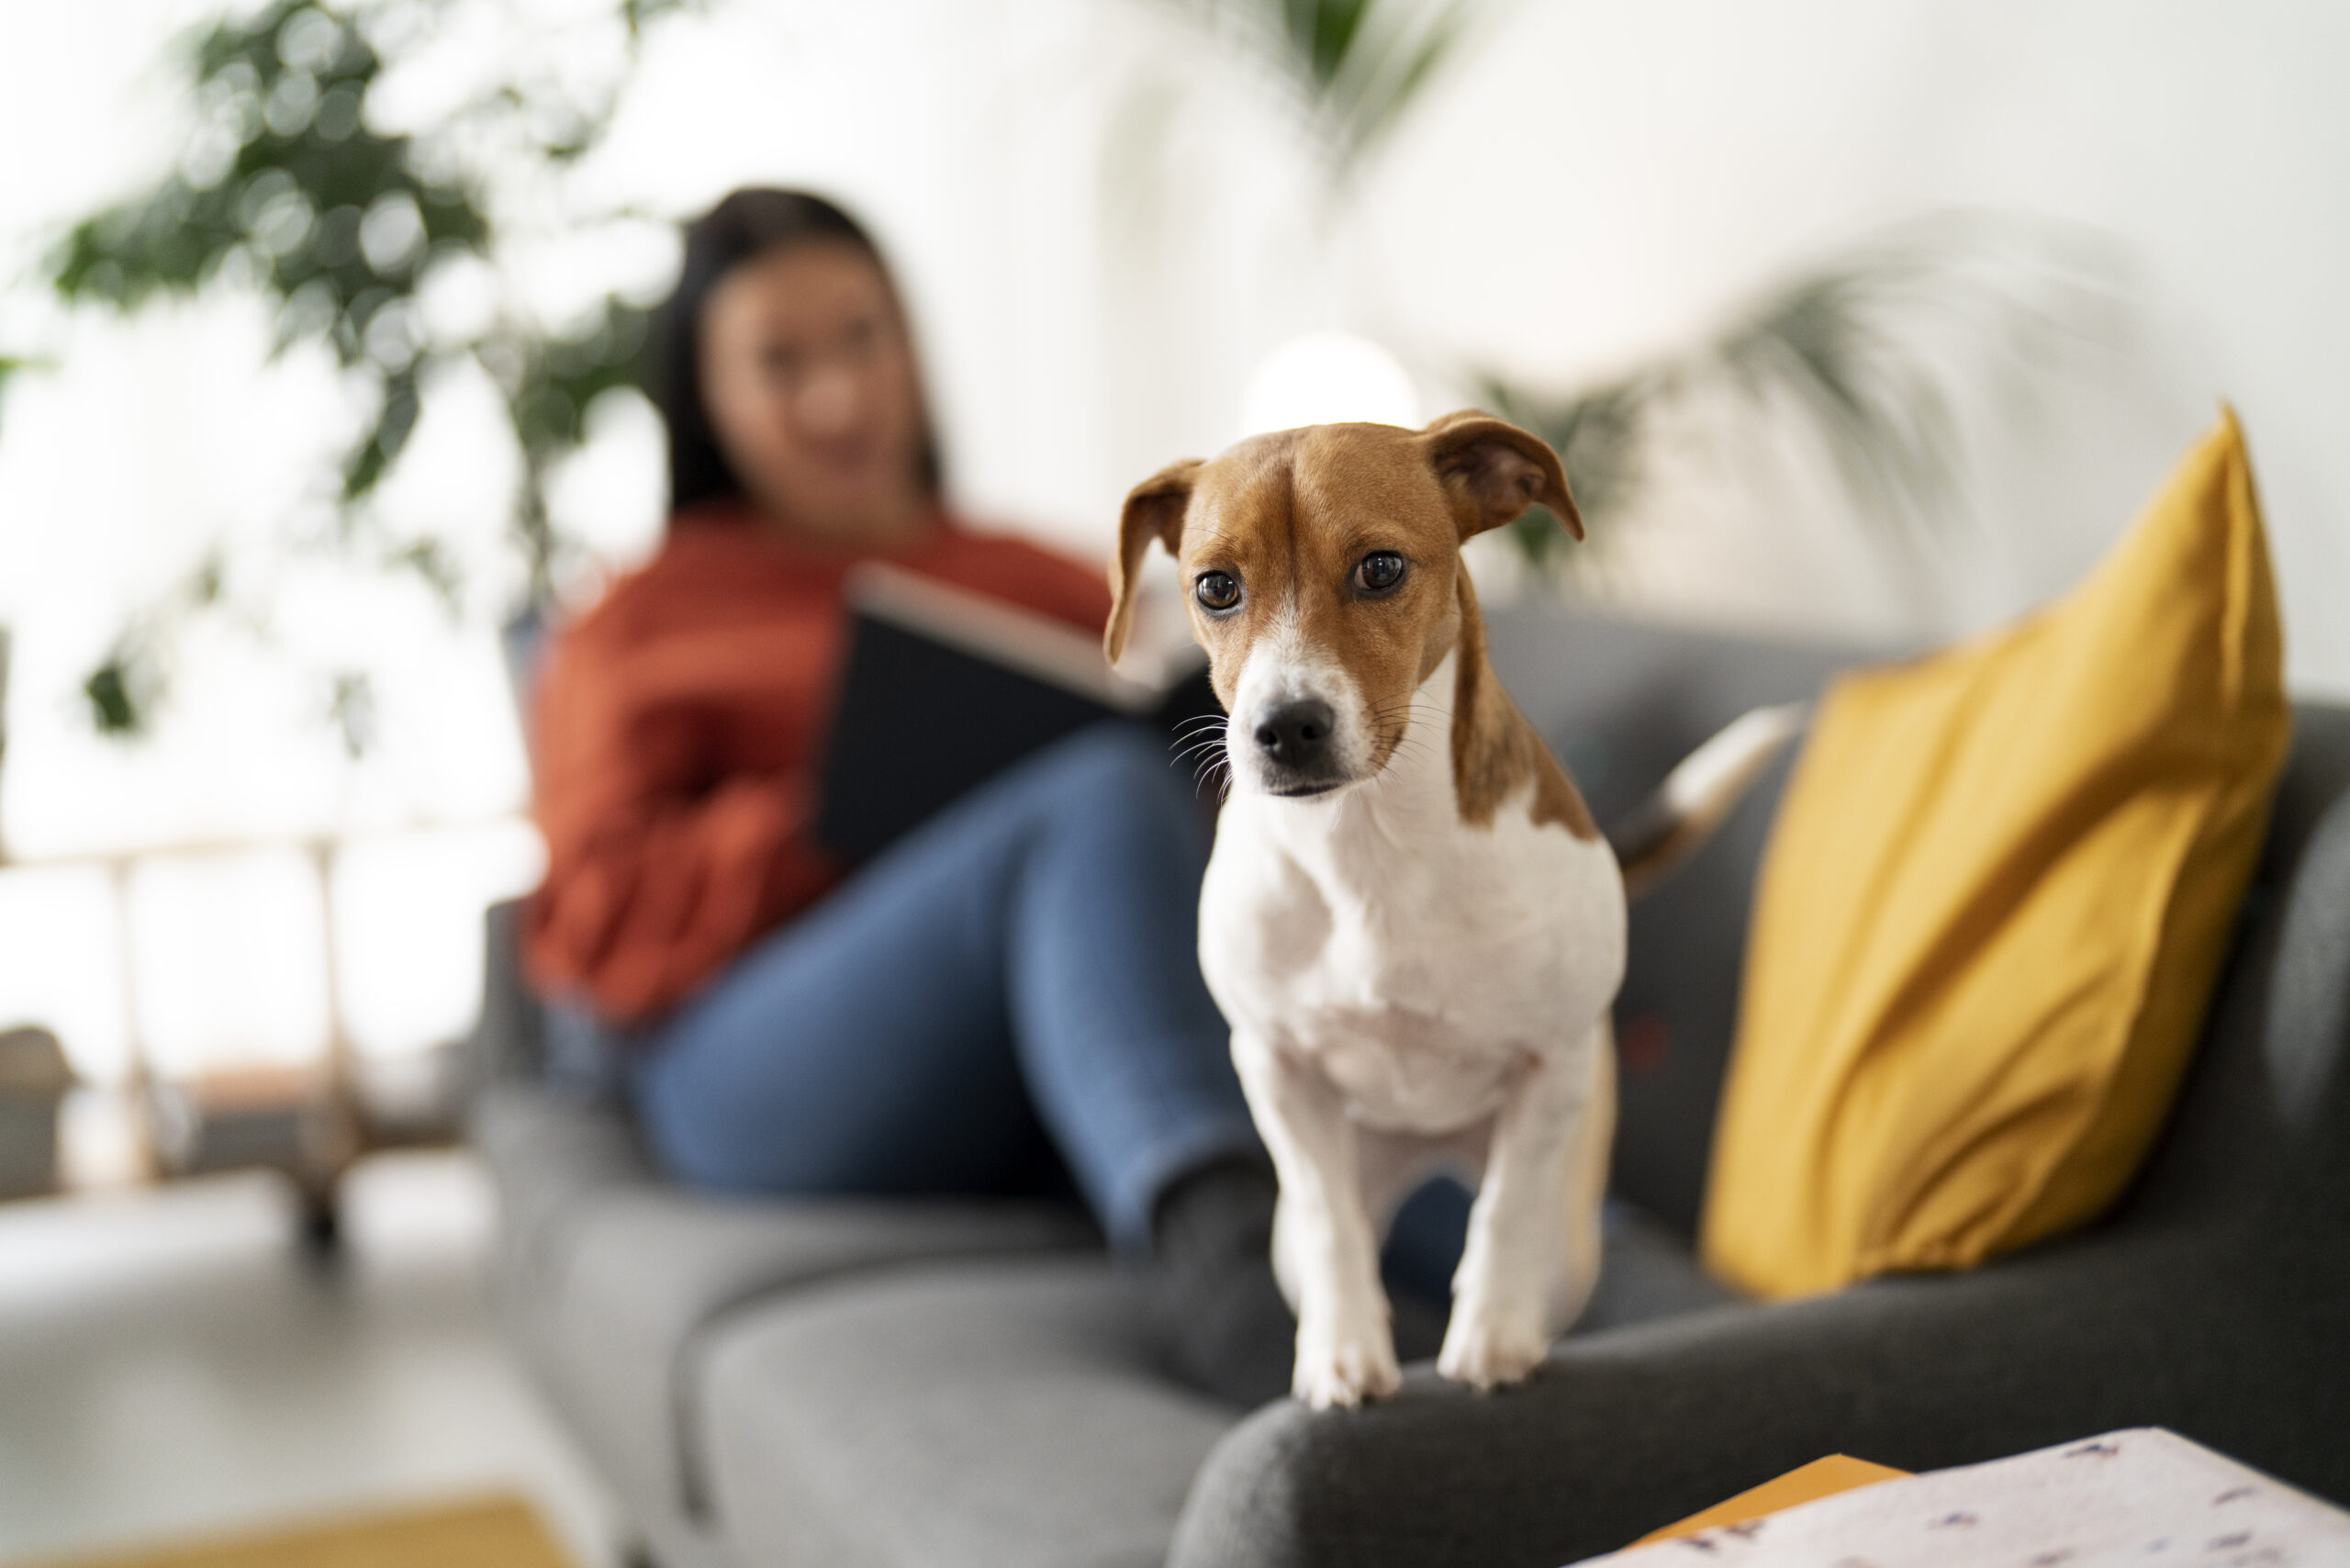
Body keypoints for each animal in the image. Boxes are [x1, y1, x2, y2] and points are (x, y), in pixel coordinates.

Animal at [1109, 409, 1767, 1410]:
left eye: (1380, 568)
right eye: (1216, 587)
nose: (1284, 726)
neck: (1369, 844)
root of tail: (1427, 1148)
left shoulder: (1549, 1068)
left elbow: (1503, 1213)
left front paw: (1490, 1337)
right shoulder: (1276, 1071)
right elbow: (1333, 1224)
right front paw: (1344, 1353)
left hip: (1571, 1231)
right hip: (1311, 1212)